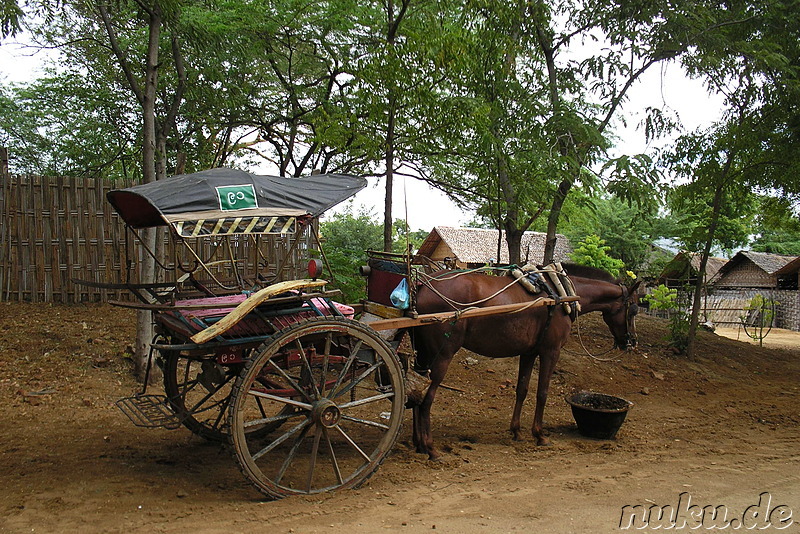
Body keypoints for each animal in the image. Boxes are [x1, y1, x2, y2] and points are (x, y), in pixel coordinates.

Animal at [410, 266, 640, 462]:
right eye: (635, 309)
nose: (631, 342)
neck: (560, 294)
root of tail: (422, 286)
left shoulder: (529, 353)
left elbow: (522, 389)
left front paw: (517, 431)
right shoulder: (551, 352)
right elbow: (542, 393)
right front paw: (540, 435)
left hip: (423, 354)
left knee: (415, 393)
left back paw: (419, 444)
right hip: (442, 356)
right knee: (427, 399)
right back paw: (431, 448)